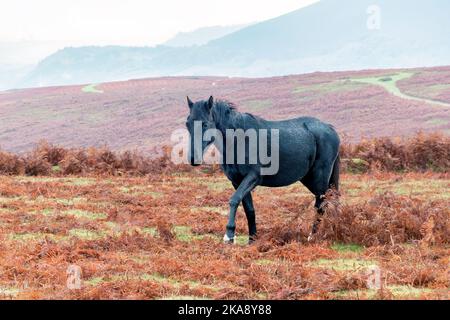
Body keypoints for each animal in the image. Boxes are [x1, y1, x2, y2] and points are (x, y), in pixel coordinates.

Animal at [185, 96, 340, 244]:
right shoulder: (237, 181)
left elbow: (234, 200)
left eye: (205, 124)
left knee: (321, 203)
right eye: (187, 123)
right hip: (310, 179)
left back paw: (312, 236)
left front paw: (229, 236)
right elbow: (249, 210)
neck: (239, 140)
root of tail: (330, 129)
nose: (193, 158)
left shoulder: (253, 177)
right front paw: (252, 239)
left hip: (319, 177)